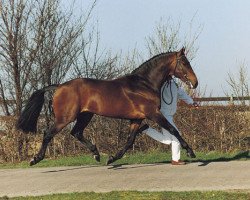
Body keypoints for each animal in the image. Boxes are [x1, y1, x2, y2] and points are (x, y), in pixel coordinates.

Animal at [16, 47, 198, 166]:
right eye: (184, 62)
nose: (195, 82)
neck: (144, 84)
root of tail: (60, 86)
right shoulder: (153, 113)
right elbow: (173, 130)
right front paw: (191, 151)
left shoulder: (137, 119)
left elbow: (130, 140)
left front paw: (112, 158)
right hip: (65, 117)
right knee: (48, 133)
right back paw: (35, 159)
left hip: (85, 115)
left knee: (76, 132)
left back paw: (96, 155)